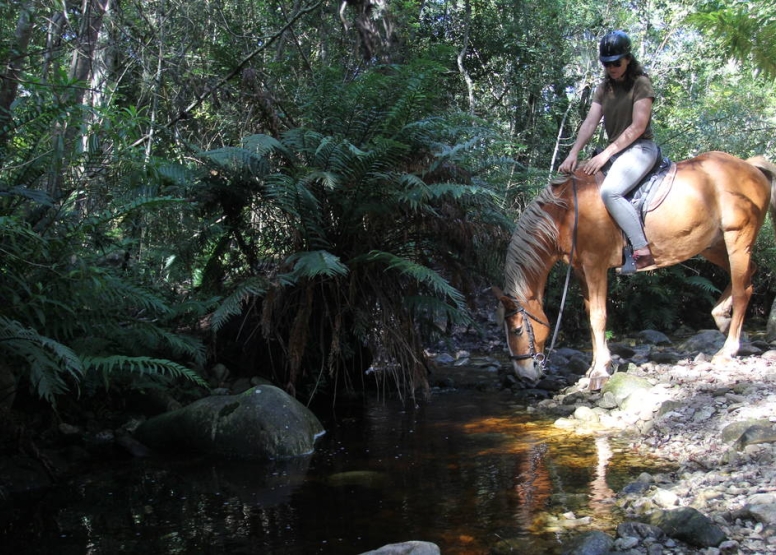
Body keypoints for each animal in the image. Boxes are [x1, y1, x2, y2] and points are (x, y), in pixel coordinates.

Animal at [494, 150, 776, 388]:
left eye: (517, 329)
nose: (524, 375)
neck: (568, 213)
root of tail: (750, 166)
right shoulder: (582, 270)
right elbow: (590, 314)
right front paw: (596, 366)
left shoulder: (595, 265)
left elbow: (598, 316)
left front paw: (599, 371)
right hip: (714, 245)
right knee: (748, 274)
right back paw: (722, 317)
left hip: (737, 238)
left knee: (743, 290)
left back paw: (727, 350)